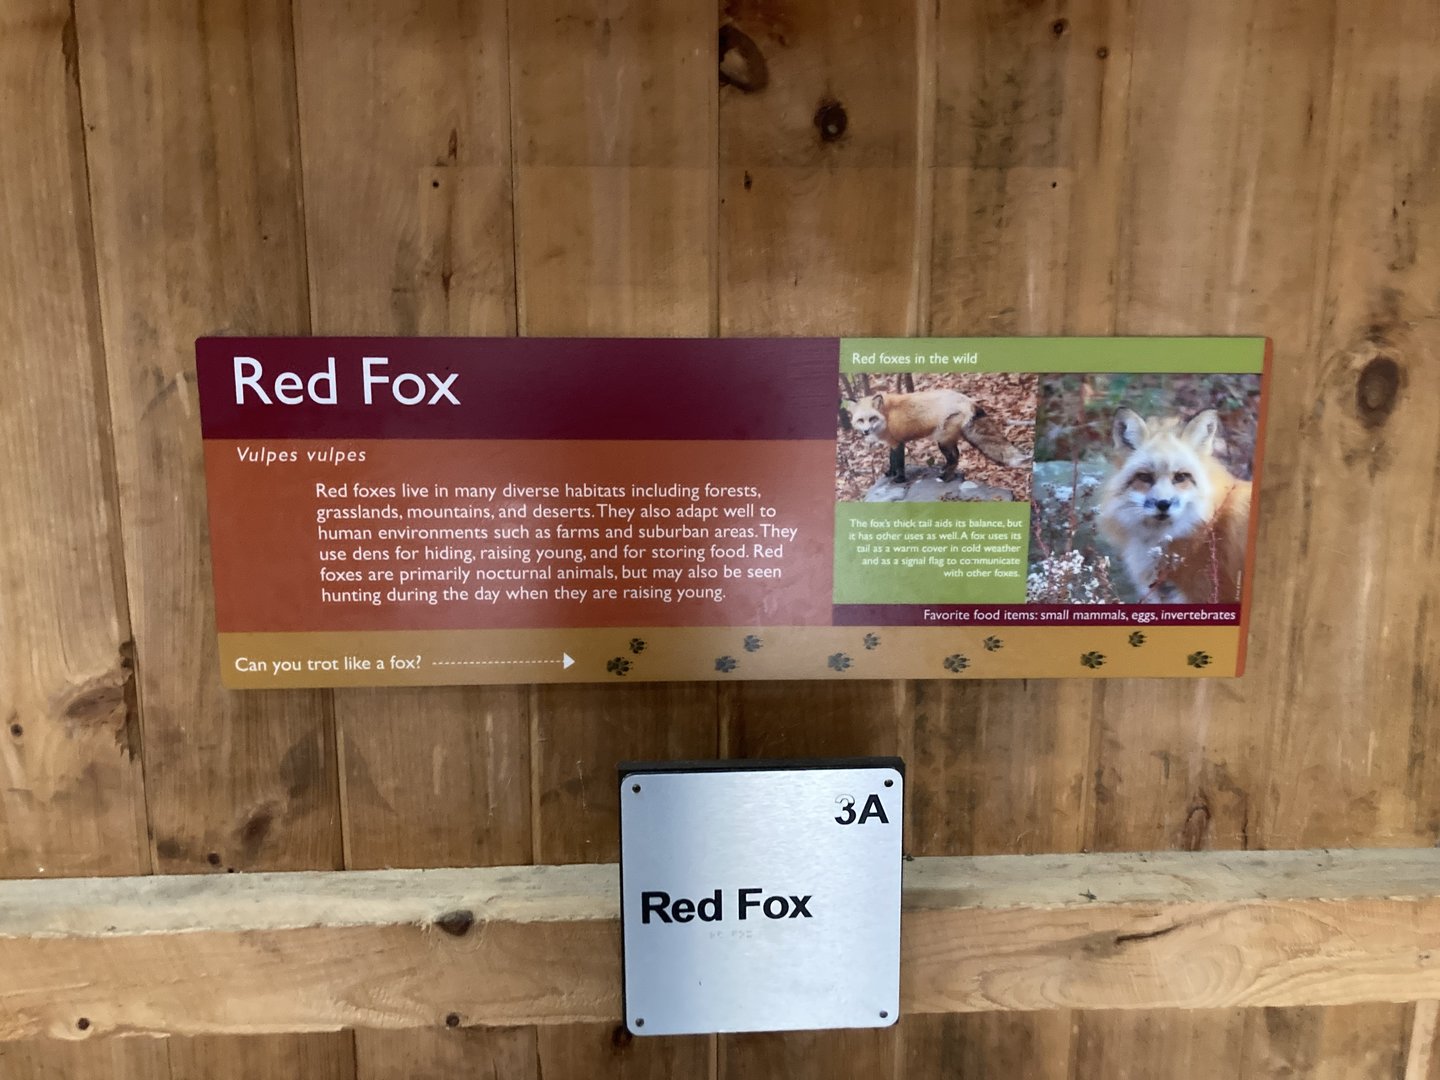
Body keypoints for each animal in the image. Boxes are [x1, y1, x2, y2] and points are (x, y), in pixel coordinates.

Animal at [846, 389, 1028, 483]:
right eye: (861, 420)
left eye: (872, 418)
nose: (866, 431)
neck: (887, 416)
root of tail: (969, 400)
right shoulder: (893, 443)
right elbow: (892, 462)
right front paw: (890, 474)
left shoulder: (899, 442)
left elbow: (899, 464)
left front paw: (899, 479)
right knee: (954, 457)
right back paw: (945, 471)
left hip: (942, 441)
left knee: (956, 457)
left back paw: (946, 477)